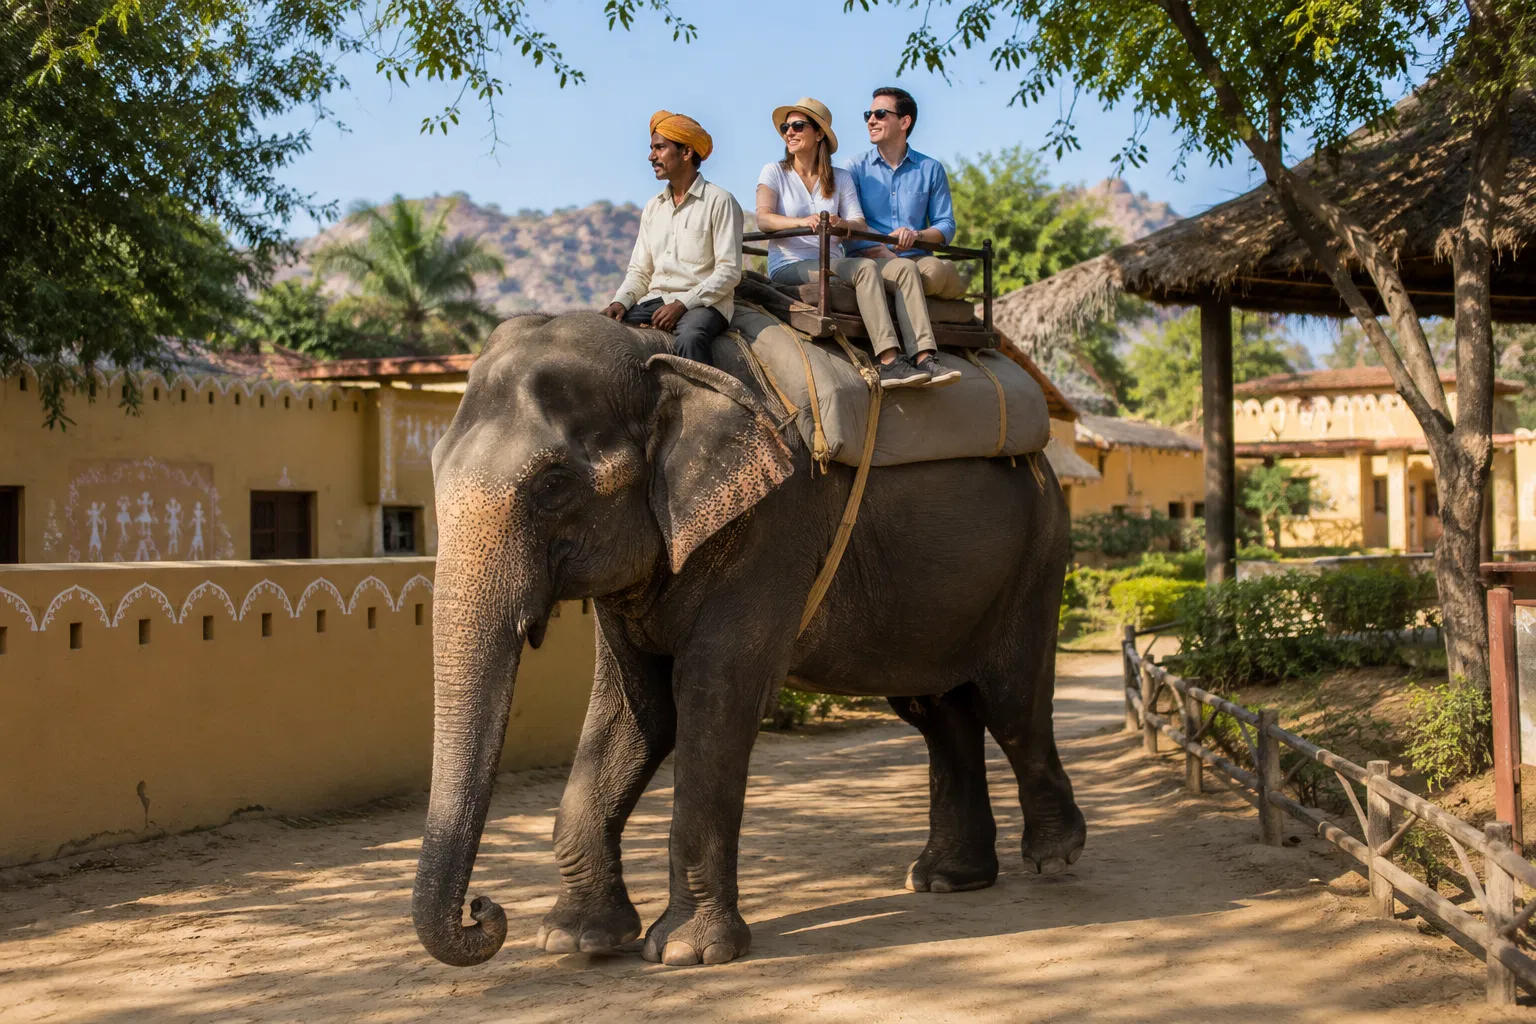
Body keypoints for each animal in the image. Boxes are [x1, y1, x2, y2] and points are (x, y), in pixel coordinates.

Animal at [412, 311, 1083, 969]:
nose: (483, 909)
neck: (655, 354)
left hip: (1038, 554)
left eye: (553, 483)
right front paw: (576, 941)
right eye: (434, 464)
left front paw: (687, 952)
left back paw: (1053, 858)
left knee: (1011, 705)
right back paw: (946, 879)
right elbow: (636, 712)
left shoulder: (774, 526)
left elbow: (714, 700)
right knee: (937, 711)